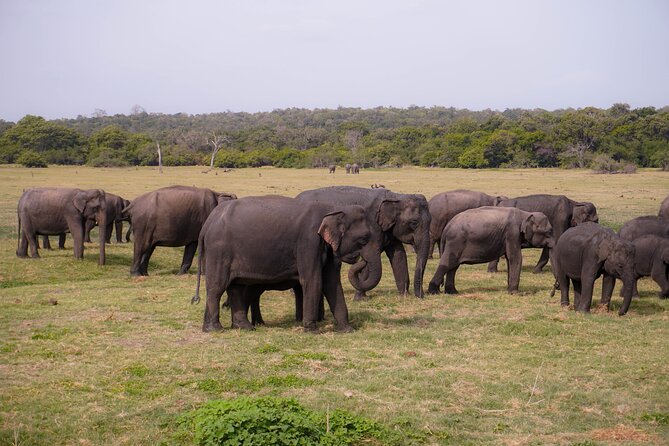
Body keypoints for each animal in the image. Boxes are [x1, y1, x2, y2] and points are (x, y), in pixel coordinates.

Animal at [192, 195, 374, 333]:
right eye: (364, 238)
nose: (361, 259)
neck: (332, 208)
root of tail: (208, 222)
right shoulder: (308, 242)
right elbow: (313, 280)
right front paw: (312, 331)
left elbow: (331, 283)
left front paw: (348, 330)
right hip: (218, 250)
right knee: (217, 286)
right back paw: (216, 329)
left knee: (235, 286)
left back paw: (244, 327)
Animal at [296, 186, 432, 299]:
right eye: (414, 222)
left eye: (431, 220)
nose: (421, 296)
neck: (395, 196)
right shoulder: (373, 226)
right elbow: (371, 257)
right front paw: (360, 299)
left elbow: (398, 255)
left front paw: (404, 296)